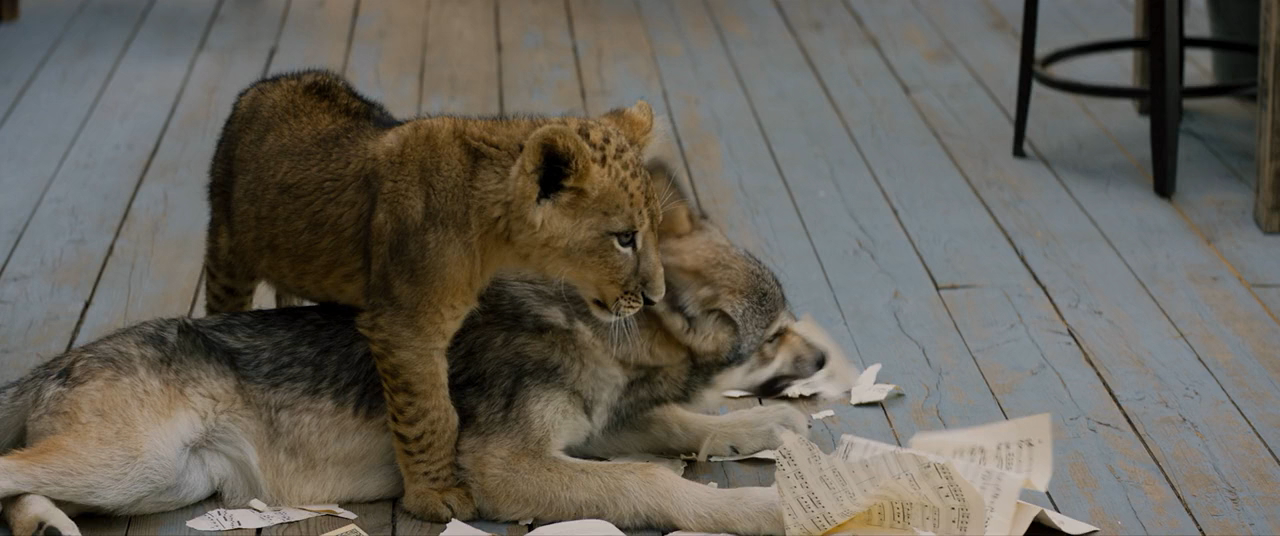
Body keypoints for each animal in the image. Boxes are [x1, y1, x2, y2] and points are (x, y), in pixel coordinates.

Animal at [0, 166, 829, 534]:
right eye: (775, 335)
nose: (824, 364)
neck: (591, 329)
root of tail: (51, 365)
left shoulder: (589, 428)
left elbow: (686, 425)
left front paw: (765, 427)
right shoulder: (505, 466)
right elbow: (650, 479)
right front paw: (764, 506)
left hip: (156, 483)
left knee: (23, 490)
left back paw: (43, 524)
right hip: (127, 465)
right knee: (7, 469)